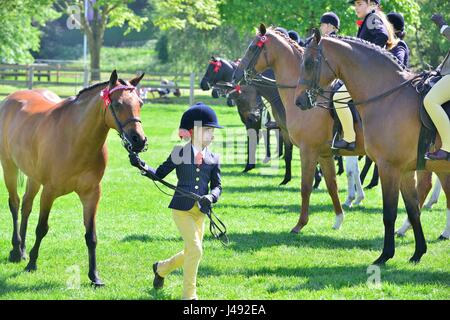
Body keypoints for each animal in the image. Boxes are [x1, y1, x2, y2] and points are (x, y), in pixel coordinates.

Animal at [0, 70, 148, 284]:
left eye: (140, 103)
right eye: (118, 104)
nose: (139, 141)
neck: (75, 139)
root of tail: (10, 99)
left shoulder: (91, 194)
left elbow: (91, 236)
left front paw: (94, 276)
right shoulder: (49, 192)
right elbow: (42, 228)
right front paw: (32, 264)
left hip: (33, 176)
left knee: (26, 206)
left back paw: (22, 250)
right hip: (9, 166)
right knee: (15, 203)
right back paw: (16, 251)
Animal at [296, 30, 450, 264]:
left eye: (311, 62)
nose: (299, 101)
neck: (390, 96)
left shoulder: (389, 168)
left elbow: (389, 214)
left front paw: (385, 256)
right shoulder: (405, 171)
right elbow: (413, 210)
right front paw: (418, 253)